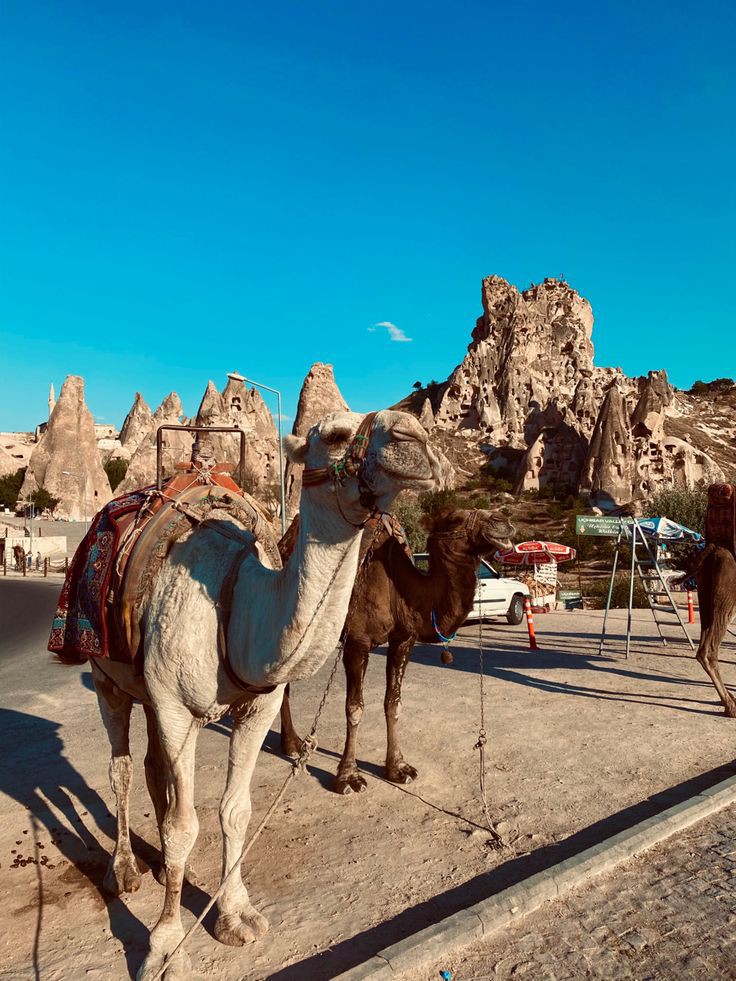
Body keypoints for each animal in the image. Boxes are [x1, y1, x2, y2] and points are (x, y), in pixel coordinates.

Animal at [77, 409, 439, 980]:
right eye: (336, 434)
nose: (416, 437)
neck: (235, 601)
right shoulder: (177, 708)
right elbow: (184, 825)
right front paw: (165, 948)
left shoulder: (257, 706)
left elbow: (235, 811)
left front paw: (235, 915)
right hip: (106, 678)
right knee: (122, 769)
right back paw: (127, 870)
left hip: (150, 694)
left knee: (156, 768)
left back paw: (157, 869)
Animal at [280, 506, 515, 794]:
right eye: (454, 518)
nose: (503, 521)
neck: (399, 588)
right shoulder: (357, 641)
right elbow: (354, 707)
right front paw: (349, 777)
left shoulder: (403, 640)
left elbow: (393, 703)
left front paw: (398, 768)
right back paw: (290, 745)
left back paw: (292, 744)